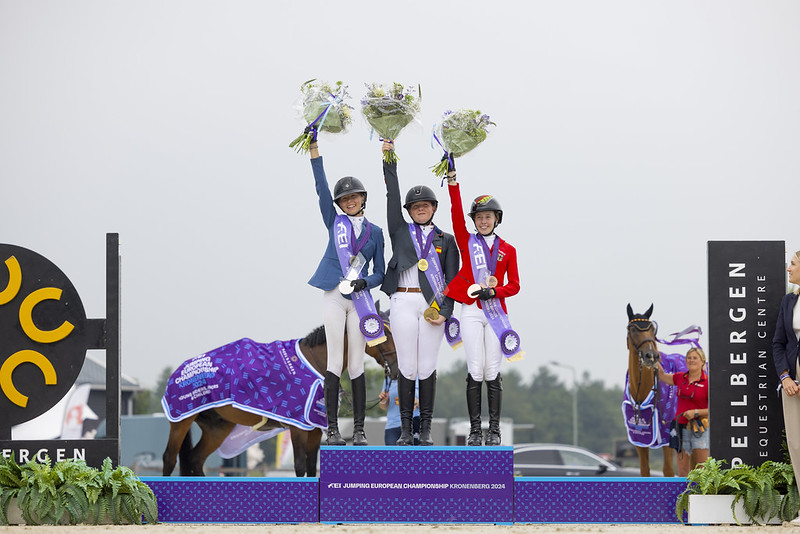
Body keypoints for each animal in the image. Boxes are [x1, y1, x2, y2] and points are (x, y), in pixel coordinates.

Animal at [161, 320, 398, 480]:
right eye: (385, 332)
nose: (396, 368)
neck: (316, 363)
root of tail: (179, 371)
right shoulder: (298, 427)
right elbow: (300, 466)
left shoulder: (314, 429)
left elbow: (311, 467)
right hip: (181, 422)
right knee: (169, 458)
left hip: (217, 429)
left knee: (196, 460)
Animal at [624, 304, 676, 480]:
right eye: (633, 329)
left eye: (652, 329)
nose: (651, 356)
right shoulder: (640, 441)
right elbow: (645, 471)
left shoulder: (668, 439)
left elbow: (668, 470)